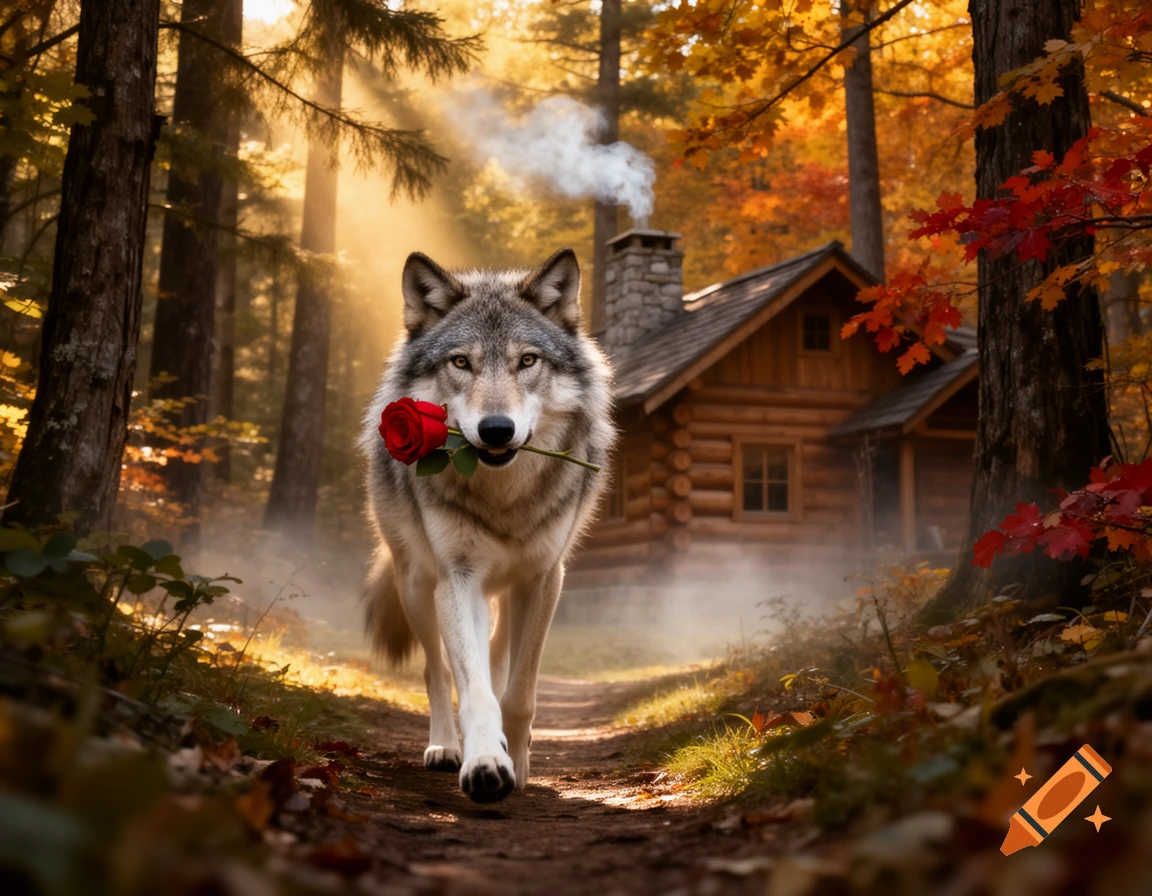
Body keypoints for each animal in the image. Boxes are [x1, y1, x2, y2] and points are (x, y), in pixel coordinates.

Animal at [359, 248, 615, 803]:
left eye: (527, 361)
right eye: (461, 362)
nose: (496, 430)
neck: (505, 499)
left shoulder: (544, 579)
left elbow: (518, 694)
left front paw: (517, 763)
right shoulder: (459, 579)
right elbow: (474, 689)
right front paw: (484, 763)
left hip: (505, 591)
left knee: (497, 655)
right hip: (417, 584)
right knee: (437, 669)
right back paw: (444, 746)